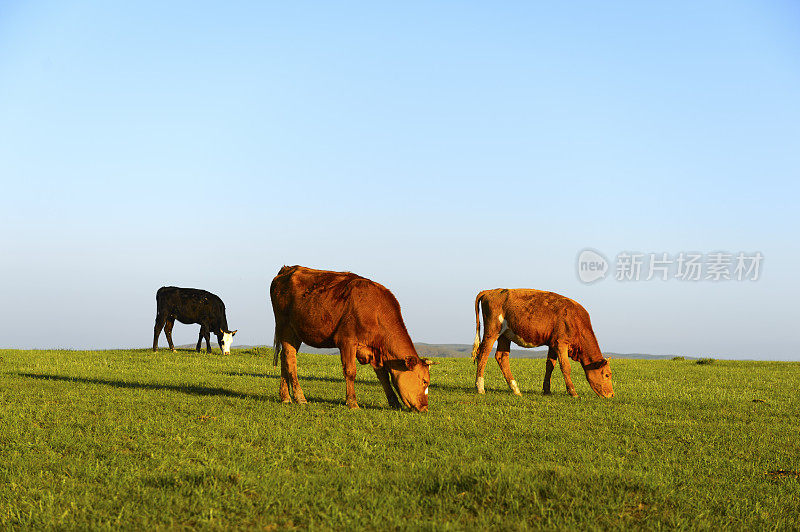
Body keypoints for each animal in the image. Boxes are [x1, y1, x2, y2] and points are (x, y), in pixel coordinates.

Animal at [270, 266, 434, 412]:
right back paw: (299, 397)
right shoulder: (347, 341)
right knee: (290, 360)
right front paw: (352, 402)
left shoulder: (374, 351)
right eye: (424, 381)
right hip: (285, 327)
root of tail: (289, 268)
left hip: (295, 334)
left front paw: (394, 402)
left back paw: (285, 397)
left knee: (285, 360)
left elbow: (384, 376)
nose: (425, 408)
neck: (375, 310)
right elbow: (350, 371)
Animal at [468, 288, 612, 396]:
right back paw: (480, 388)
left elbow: (550, 366)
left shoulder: (553, 344)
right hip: (492, 331)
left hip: (505, 335)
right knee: (483, 354)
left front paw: (547, 390)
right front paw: (573, 392)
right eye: (606, 375)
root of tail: (491, 291)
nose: (611, 394)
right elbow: (565, 367)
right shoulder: (561, 343)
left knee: (501, 357)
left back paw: (516, 389)